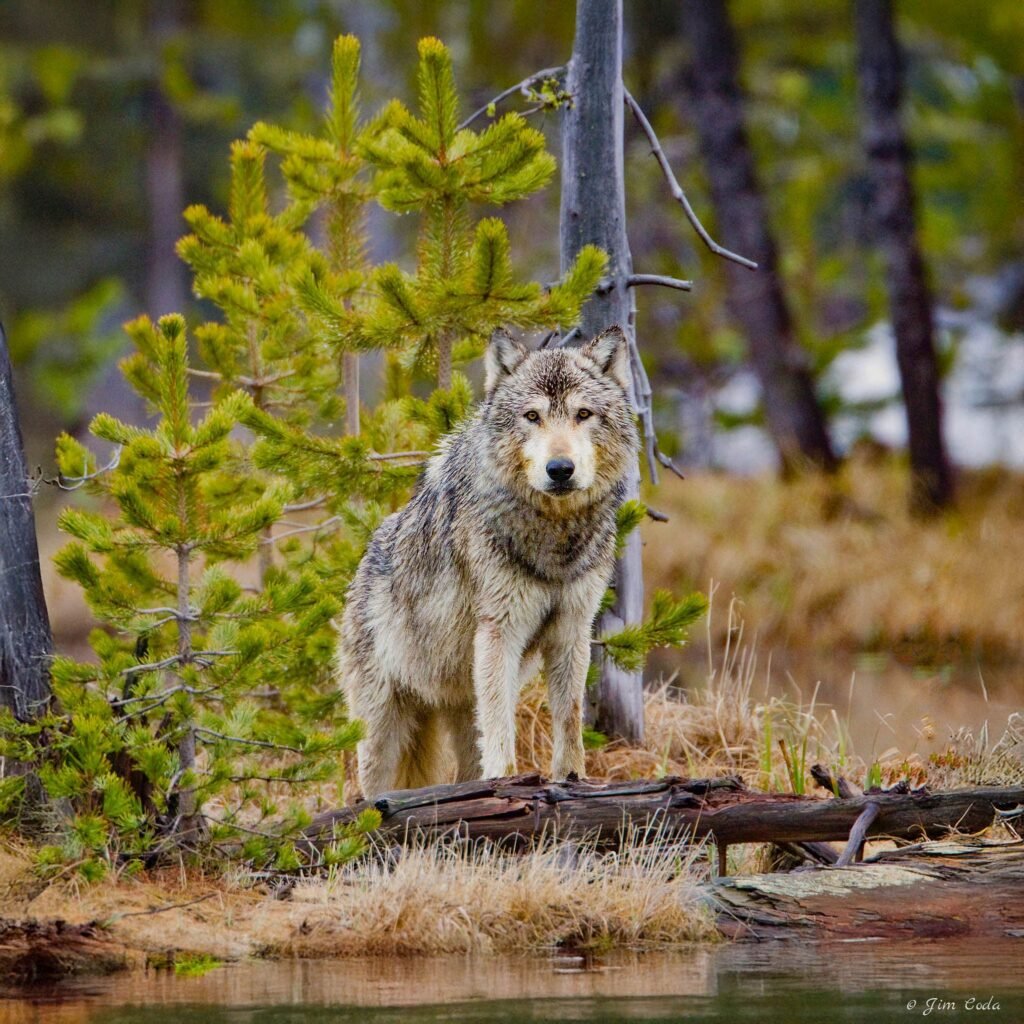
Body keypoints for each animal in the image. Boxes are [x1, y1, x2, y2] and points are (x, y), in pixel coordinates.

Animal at [337, 326, 638, 796]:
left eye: (583, 414)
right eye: (532, 417)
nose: (560, 469)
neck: (554, 540)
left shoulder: (572, 631)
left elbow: (569, 720)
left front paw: (572, 781)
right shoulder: (501, 630)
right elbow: (502, 727)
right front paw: (507, 783)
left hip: (458, 707)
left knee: (464, 771)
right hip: (383, 730)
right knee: (370, 789)